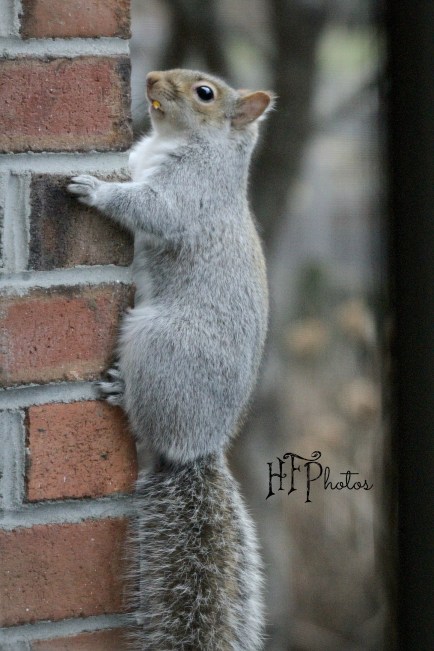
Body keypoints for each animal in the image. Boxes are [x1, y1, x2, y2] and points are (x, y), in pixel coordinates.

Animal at [68, 68, 274, 650]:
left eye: (205, 93)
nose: (153, 77)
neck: (171, 142)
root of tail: (196, 445)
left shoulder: (192, 193)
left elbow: (153, 209)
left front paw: (95, 189)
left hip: (159, 344)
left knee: (146, 415)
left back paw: (122, 393)